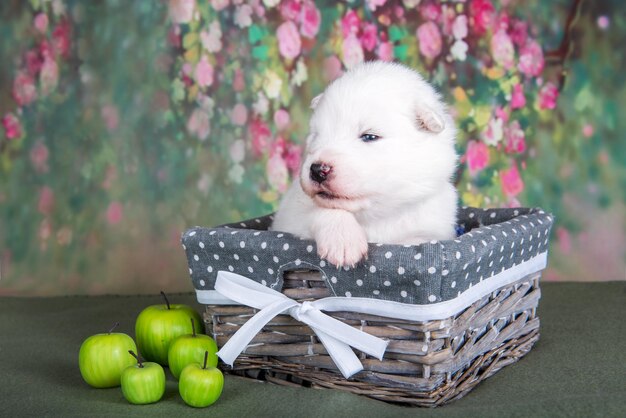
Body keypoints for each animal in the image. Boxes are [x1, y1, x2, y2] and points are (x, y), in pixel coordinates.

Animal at [270, 60, 456, 266]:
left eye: (369, 136)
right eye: (316, 135)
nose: (318, 170)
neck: (375, 216)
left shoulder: (434, 226)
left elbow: (415, 240)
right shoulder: (289, 215)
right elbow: (320, 210)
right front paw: (342, 239)